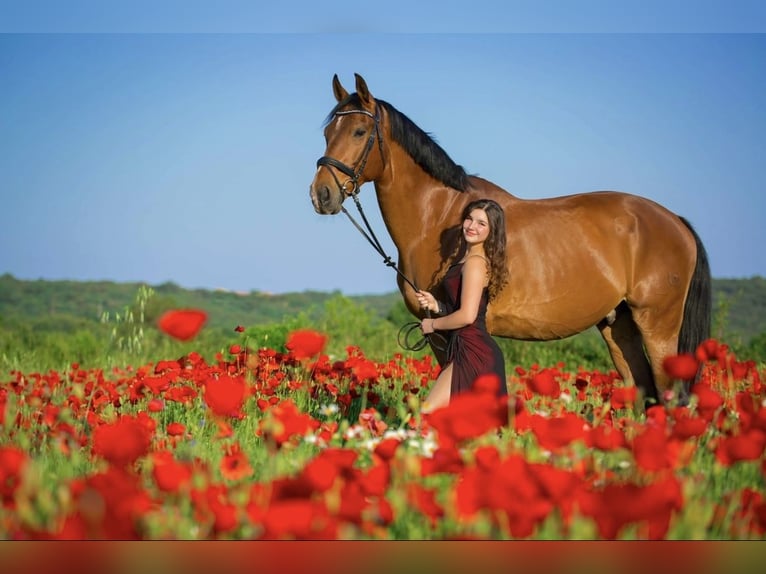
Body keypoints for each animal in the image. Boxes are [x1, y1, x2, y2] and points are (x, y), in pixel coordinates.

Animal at [310, 73, 712, 410]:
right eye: (328, 132)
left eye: (360, 131)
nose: (321, 194)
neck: (439, 216)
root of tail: (675, 221)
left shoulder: (442, 329)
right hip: (618, 325)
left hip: (658, 327)